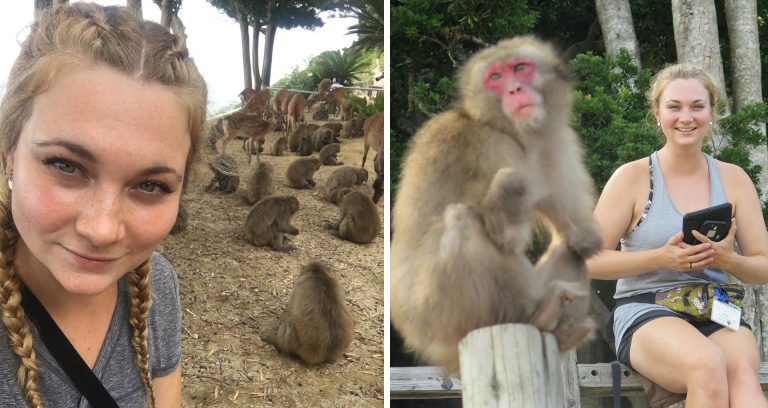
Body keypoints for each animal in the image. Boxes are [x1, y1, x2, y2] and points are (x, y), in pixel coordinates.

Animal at [392, 35, 604, 376]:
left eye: (520, 68)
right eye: (495, 77)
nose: (514, 90)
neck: (516, 133)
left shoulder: (557, 144)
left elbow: (577, 237)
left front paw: (584, 238)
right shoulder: (492, 148)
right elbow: (507, 236)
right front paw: (510, 191)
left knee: (567, 249)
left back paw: (561, 330)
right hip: (443, 314)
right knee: (462, 222)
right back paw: (536, 315)